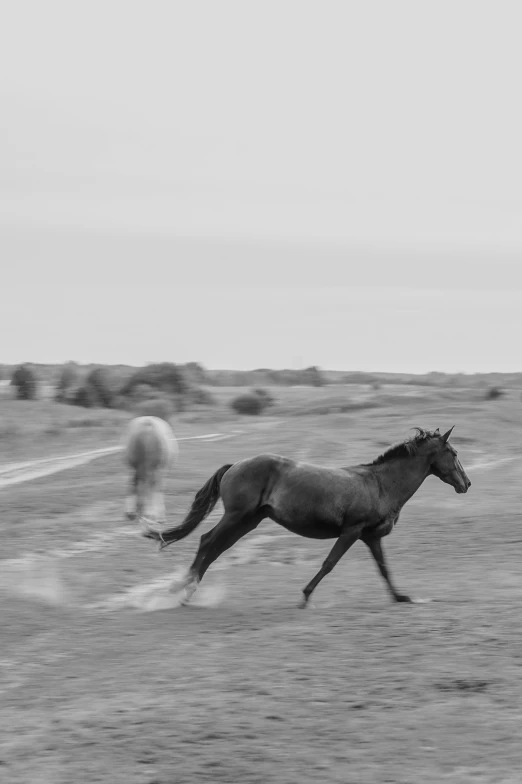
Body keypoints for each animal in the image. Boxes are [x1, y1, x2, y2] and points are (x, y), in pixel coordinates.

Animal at [142, 428, 468, 608]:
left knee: (214, 548)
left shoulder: (370, 536)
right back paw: (182, 590)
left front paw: (401, 598)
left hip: (248, 521)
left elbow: (384, 569)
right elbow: (329, 563)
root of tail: (235, 465)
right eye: (452, 452)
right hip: (237, 517)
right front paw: (305, 596)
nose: (466, 484)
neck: (380, 484)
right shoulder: (352, 531)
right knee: (207, 542)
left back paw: (186, 591)